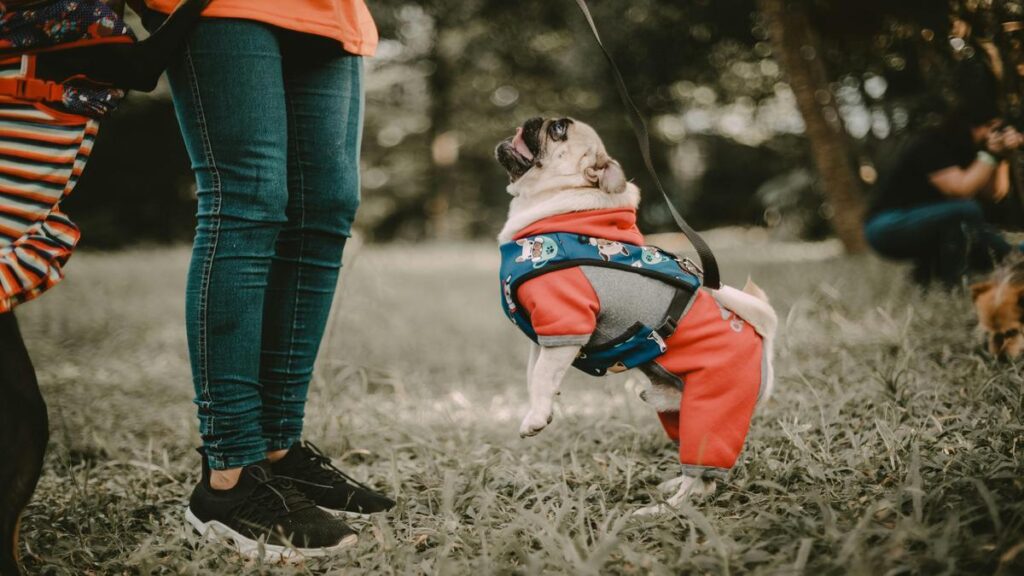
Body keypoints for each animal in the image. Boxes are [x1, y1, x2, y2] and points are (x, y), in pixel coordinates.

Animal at [493, 115, 774, 510]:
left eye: (558, 130)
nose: (534, 119)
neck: (562, 210)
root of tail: (765, 349)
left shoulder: (567, 320)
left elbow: (543, 376)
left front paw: (536, 417)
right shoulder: (546, 334)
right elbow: (535, 375)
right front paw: (540, 409)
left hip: (712, 410)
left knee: (700, 477)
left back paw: (659, 511)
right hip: (677, 413)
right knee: (703, 480)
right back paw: (672, 489)